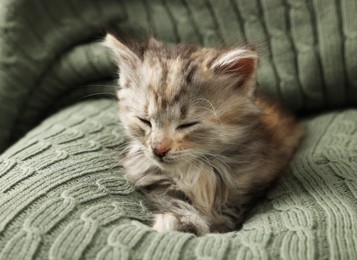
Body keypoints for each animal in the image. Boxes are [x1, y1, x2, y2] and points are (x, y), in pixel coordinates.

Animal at [103, 32, 304, 236]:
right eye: (145, 121)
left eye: (187, 124)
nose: (159, 150)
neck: (195, 168)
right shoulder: (156, 182)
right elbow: (174, 202)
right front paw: (175, 222)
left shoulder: (250, 185)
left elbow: (229, 211)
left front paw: (215, 226)